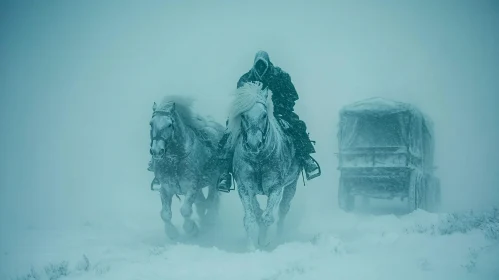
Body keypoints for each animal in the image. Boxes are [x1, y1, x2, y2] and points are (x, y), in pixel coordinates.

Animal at [149, 95, 226, 238]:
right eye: (151, 124)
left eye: (169, 124)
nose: (156, 151)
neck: (174, 161)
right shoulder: (166, 189)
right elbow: (165, 214)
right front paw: (172, 233)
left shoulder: (191, 187)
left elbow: (185, 210)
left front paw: (191, 229)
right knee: (203, 202)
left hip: (214, 180)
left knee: (212, 198)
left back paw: (210, 219)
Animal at [227, 81, 300, 249]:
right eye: (243, 115)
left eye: (264, 115)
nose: (254, 144)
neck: (258, 159)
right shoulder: (245, 188)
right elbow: (251, 219)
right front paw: (252, 247)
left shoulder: (276, 187)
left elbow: (267, 218)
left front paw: (264, 243)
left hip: (291, 185)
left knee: (283, 210)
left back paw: (279, 238)